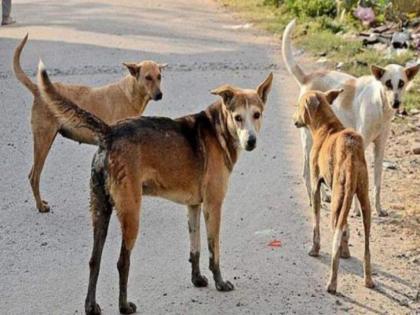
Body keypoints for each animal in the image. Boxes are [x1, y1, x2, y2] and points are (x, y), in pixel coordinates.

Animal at [13, 34, 167, 212]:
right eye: (147, 77)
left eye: (159, 77)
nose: (160, 95)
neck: (130, 94)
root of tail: (38, 90)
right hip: (43, 140)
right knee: (34, 176)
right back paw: (40, 206)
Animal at [37, 59, 274, 315]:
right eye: (238, 117)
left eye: (257, 115)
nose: (251, 141)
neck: (218, 128)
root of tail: (110, 132)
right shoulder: (213, 206)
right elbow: (214, 251)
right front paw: (220, 283)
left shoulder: (193, 206)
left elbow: (195, 248)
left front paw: (197, 279)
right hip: (131, 212)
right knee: (122, 262)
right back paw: (124, 306)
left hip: (101, 210)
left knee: (94, 260)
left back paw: (91, 306)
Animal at [282, 19, 420, 217]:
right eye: (387, 83)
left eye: (401, 83)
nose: (396, 103)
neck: (380, 106)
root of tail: (308, 77)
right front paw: (356, 210)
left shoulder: (380, 147)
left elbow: (377, 182)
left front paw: (378, 208)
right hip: (308, 140)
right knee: (306, 172)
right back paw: (315, 198)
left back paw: (325, 195)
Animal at [292, 89, 374, 296]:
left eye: (299, 105)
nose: (293, 119)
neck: (327, 126)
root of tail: (351, 151)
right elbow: (346, 228)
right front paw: (347, 251)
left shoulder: (315, 186)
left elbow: (316, 224)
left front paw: (314, 249)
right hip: (363, 201)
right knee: (366, 247)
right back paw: (368, 279)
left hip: (338, 199)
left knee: (335, 240)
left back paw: (332, 283)